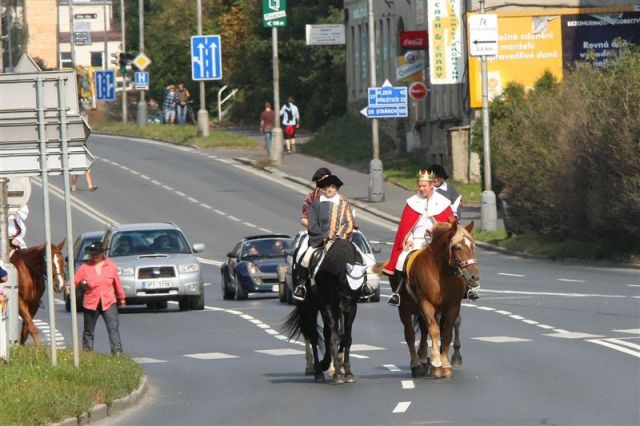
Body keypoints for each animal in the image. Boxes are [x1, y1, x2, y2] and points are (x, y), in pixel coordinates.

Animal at [396, 221, 480, 378]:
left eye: (472, 245)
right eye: (457, 247)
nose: (474, 276)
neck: (442, 273)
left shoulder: (453, 306)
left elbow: (446, 332)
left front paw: (445, 364)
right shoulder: (426, 304)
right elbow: (434, 330)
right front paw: (436, 362)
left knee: (424, 331)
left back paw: (424, 359)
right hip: (404, 308)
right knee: (410, 334)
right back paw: (417, 365)